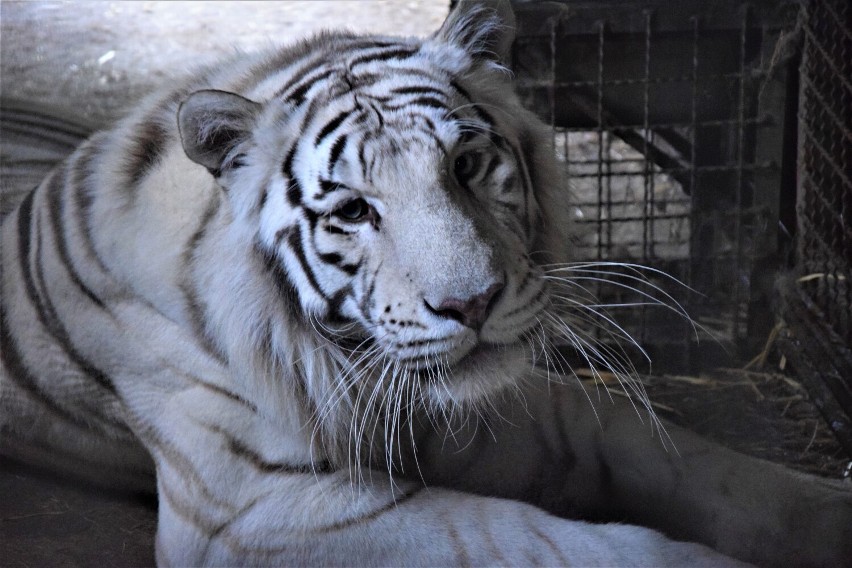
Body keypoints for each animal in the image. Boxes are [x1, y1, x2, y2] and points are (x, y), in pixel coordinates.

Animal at [0, 1, 848, 564]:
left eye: (466, 165)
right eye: (353, 209)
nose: (472, 303)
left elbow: (675, 453)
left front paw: (829, 517)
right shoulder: (255, 507)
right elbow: (524, 538)